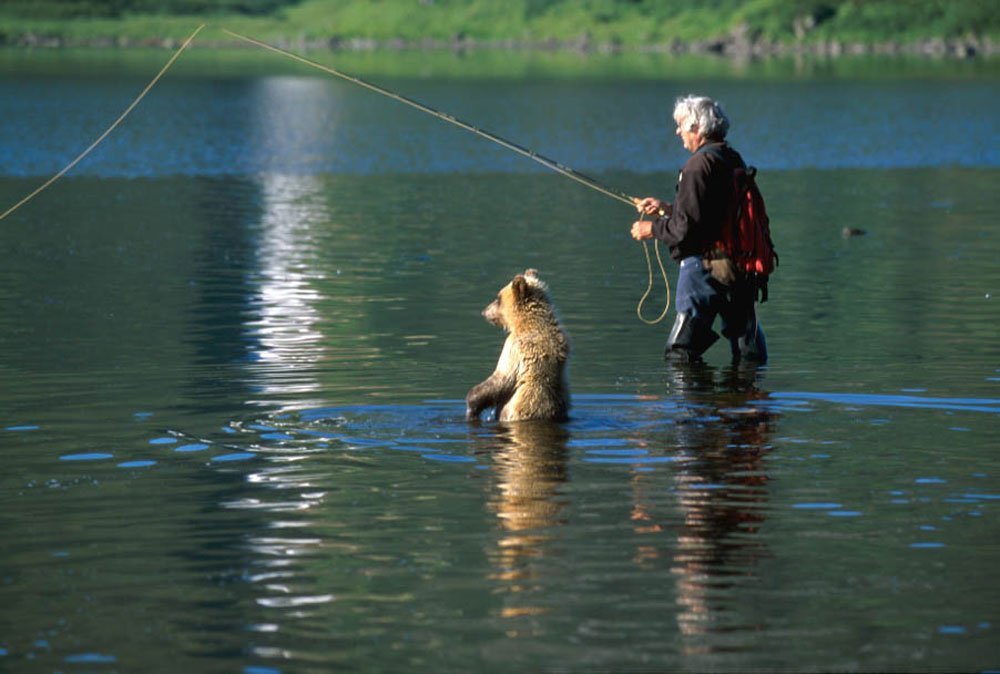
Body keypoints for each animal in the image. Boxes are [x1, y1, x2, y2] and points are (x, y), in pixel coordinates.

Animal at [462, 266, 568, 420]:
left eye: (498, 298)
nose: (484, 311)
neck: (526, 322)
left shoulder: (516, 348)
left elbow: (503, 378)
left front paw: (472, 404)